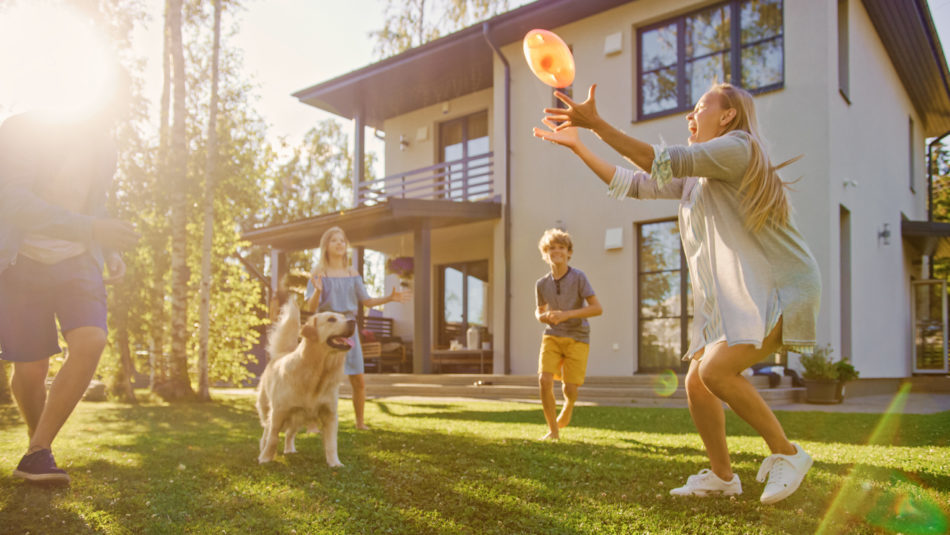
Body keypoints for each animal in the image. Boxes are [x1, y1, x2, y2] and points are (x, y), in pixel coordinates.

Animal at [255, 304, 356, 466]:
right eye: (331, 319)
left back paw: (289, 449)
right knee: (267, 430)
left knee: (289, 433)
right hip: (267, 409)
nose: (353, 322)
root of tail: (280, 354)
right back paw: (262, 448)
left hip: (298, 416)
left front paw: (335, 463)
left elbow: (332, 443)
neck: (318, 373)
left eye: (343, 317)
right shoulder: (279, 411)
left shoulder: (330, 414)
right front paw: (265, 458)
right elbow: (273, 438)